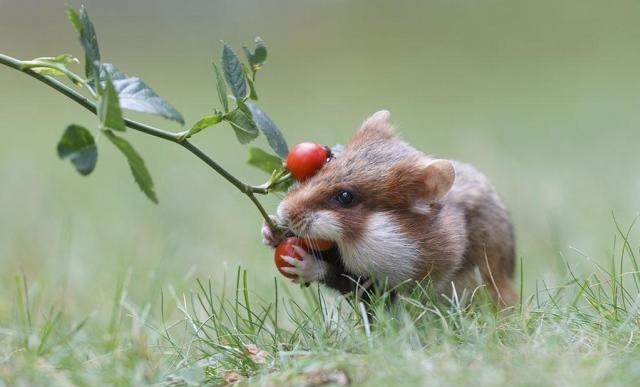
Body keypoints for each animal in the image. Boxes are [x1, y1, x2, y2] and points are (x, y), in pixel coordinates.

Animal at [262, 110, 516, 308]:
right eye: (326, 162)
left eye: (345, 197)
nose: (284, 212)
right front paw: (269, 230)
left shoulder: (397, 282)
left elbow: (344, 278)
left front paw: (301, 264)